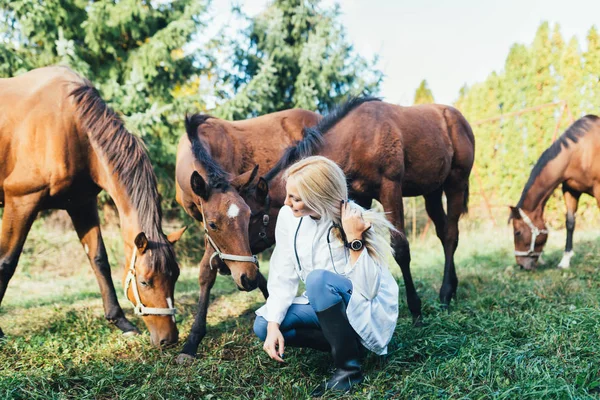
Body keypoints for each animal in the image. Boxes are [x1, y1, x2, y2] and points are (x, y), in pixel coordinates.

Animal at [0, 66, 185, 346]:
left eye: (175, 276)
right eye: (144, 282)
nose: (169, 339)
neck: (69, 126)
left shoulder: (81, 204)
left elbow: (99, 259)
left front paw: (120, 320)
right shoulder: (21, 201)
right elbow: (6, 263)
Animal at [173, 108, 322, 360]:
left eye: (248, 216)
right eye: (213, 224)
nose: (246, 279)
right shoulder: (200, 220)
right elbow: (207, 273)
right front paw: (192, 342)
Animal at [246, 97, 476, 324]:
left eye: (253, 216)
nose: (238, 263)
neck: (356, 139)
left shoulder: (390, 188)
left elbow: (400, 248)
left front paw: (415, 310)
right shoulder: (361, 198)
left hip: (456, 182)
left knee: (450, 234)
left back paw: (445, 295)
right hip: (433, 191)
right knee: (443, 231)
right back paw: (451, 290)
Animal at [510, 115, 600, 272]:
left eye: (517, 232)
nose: (521, 264)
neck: (581, 152)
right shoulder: (571, 190)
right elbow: (570, 223)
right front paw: (565, 260)